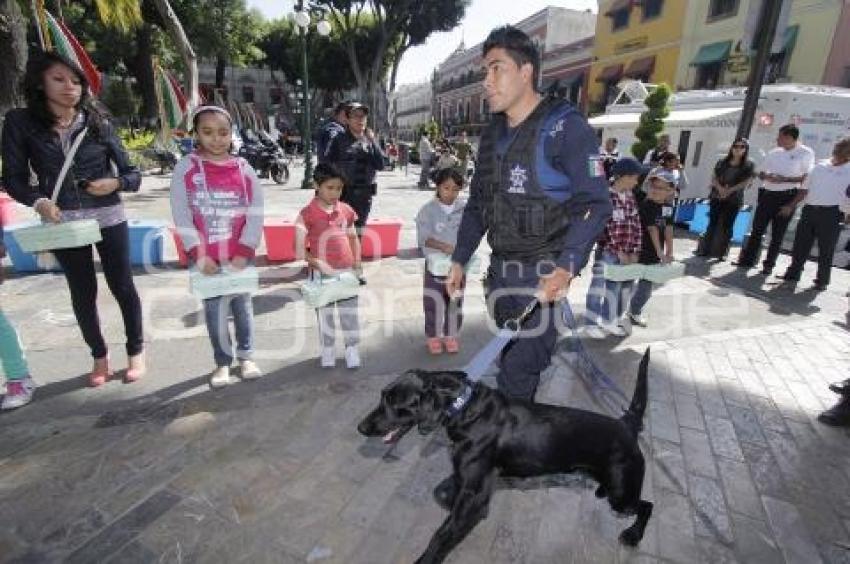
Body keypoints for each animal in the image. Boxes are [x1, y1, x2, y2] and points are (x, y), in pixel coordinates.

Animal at [356, 348, 648, 564]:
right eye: (382, 396)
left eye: (395, 404)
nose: (361, 427)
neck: (465, 408)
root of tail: (626, 424)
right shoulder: (467, 481)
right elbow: (444, 496)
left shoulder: (473, 493)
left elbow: (442, 534)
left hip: (622, 494)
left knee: (646, 506)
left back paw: (633, 535)